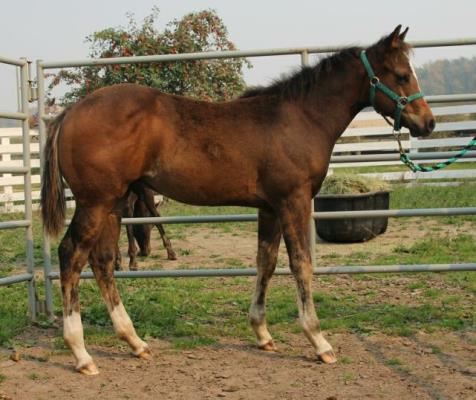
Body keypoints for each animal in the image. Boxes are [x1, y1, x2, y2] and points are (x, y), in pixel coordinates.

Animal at [40, 26, 434, 375]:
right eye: (401, 75)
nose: (427, 123)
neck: (299, 118)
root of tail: (70, 113)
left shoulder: (270, 207)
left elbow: (266, 262)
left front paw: (262, 333)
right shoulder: (293, 200)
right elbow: (301, 264)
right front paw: (319, 341)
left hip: (113, 203)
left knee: (103, 261)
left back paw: (135, 342)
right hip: (95, 202)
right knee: (71, 256)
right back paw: (81, 353)